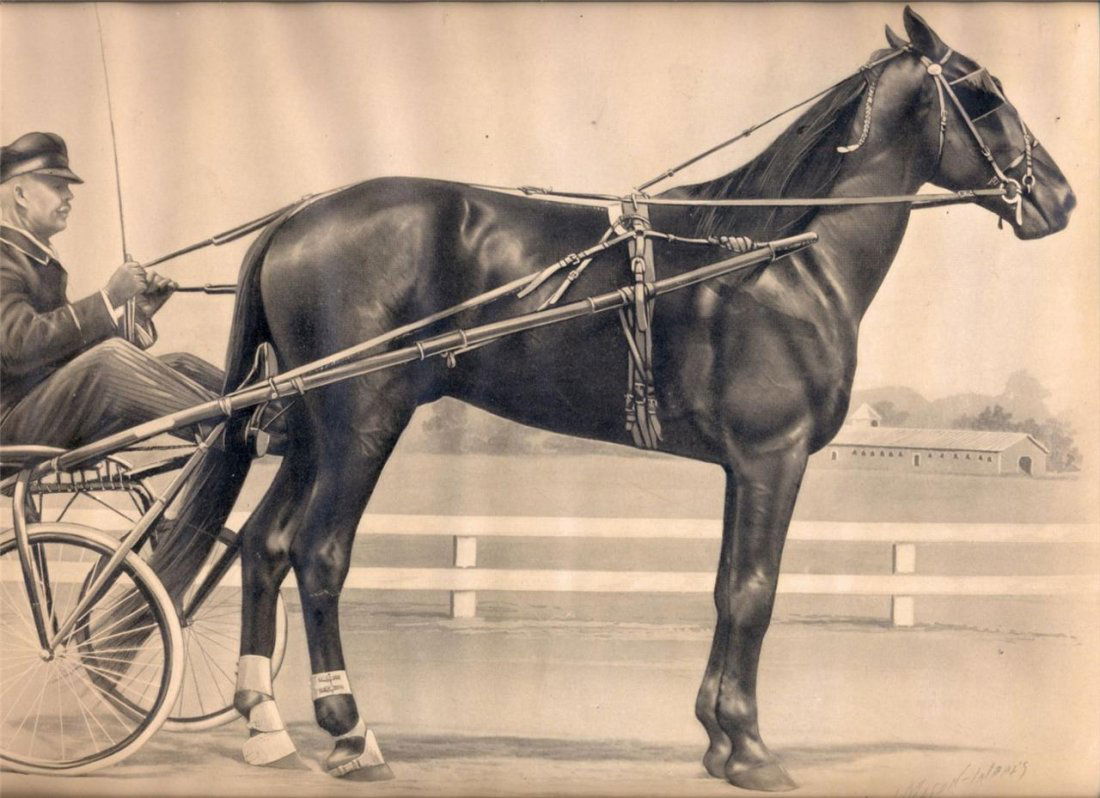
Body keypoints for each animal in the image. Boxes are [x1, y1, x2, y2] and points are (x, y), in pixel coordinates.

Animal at [146, 7, 1073, 791]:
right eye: (984, 93)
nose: (1057, 199)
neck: (774, 256)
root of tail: (297, 220)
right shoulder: (772, 456)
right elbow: (755, 592)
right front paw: (751, 748)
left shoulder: (745, 467)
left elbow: (727, 587)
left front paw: (718, 738)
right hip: (364, 422)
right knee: (318, 553)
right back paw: (348, 730)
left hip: (312, 427)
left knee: (263, 546)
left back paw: (266, 726)